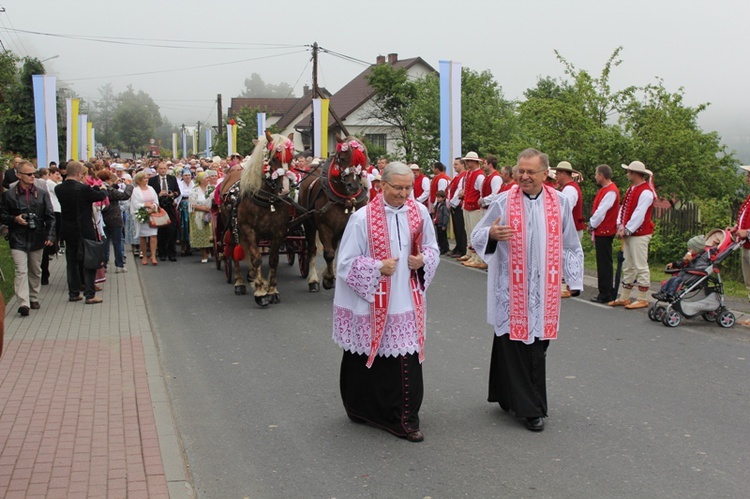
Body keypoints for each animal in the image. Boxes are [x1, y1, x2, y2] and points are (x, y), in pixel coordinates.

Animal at [236, 131, 296, 306]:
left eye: (291, 159)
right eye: (274, 158)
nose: (284, 190)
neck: (266, 200)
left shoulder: (279, 231)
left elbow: (273, 260)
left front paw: (272, 290)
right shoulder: (247, 229)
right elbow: (256, 259)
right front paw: (261, 292)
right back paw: (239, 282)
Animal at [300, 136, 370, 292]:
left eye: (363, 160)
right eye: (342, 158)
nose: (353, 186)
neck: (344, 199)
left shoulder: (346, 227)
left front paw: (329, 276)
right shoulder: (323, 226)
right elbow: (329, 253)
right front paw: (329, 279)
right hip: (308, 223)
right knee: (312, 248)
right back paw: (313, 279)